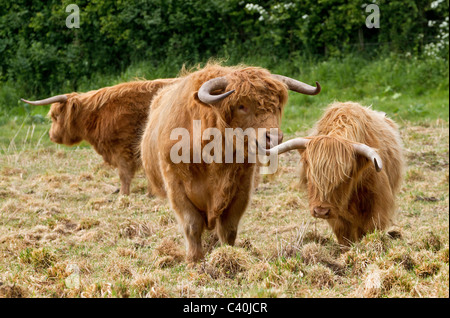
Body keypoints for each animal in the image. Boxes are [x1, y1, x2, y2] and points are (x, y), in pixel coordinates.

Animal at [22, 79, 178, 194]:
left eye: (55, 116)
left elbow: (125, 175)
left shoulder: (123, 149)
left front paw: (123, 195)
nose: (51, 136)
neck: (98, 116)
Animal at [141, 62, 320, 264]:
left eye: (276, 105)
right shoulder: (176, 187)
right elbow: (192, 225)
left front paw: (228, 254)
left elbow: (229, 228)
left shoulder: (241, 188)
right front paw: (195, 259)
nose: (273, 137)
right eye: (241, 105)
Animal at [264, 102, 404, 246]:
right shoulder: (336, 216)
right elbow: (343, 233)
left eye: (345, 175)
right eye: (310, 173)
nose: (321, 211)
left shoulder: (378, 202)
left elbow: (372, 227)